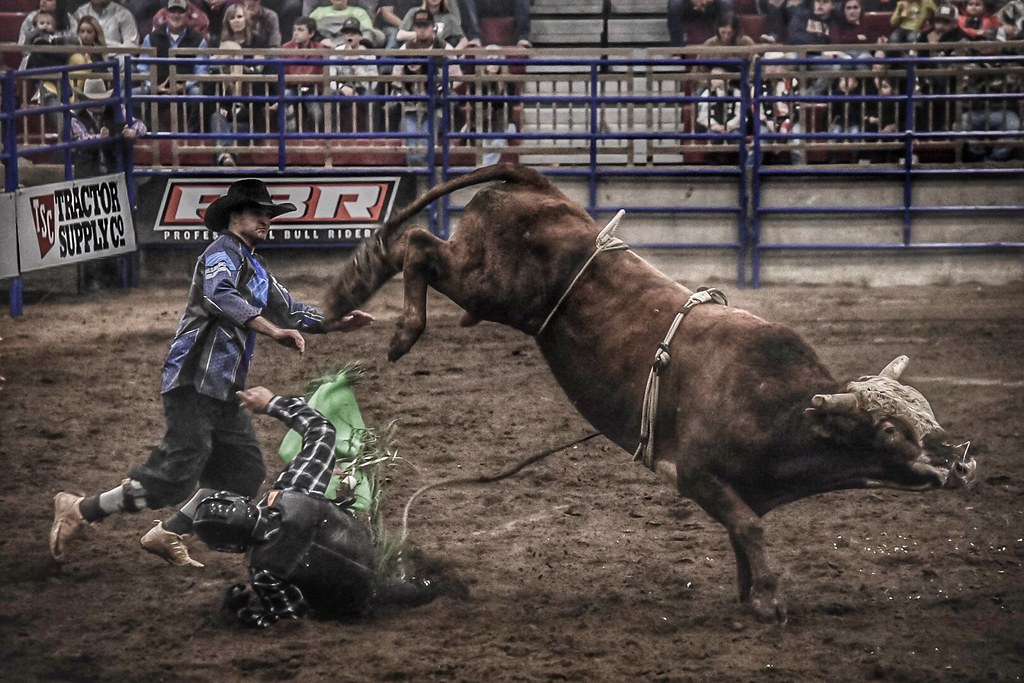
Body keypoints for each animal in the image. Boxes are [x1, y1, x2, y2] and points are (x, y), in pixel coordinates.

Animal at [323, 164, 977, 622]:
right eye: (888, 430)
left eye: (927, 413)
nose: (959, 460)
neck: (775, 407)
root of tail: (533, 181)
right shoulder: (697, 475)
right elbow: (750, 528)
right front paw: (771, 601)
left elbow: (743, 533)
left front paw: (751, 595)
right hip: (493, 288)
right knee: (418, 247)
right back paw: (397, 326)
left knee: (413, 247)